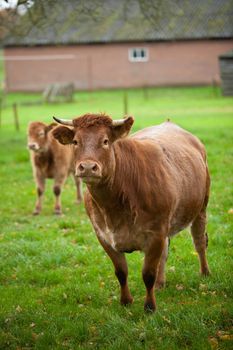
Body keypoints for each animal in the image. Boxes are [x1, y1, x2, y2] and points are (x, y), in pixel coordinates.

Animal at [52, 114, 211, 312]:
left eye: (105, 141)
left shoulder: (155, 234)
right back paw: (161, 283)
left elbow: (148, 274)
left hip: (201, 208)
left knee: (199, 242)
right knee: (165, 254)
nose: (87, 167)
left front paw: (150, 307)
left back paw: (205, 273)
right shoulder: (103, 235)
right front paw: (126, 301)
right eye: (75, 141)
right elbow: (121, 271)